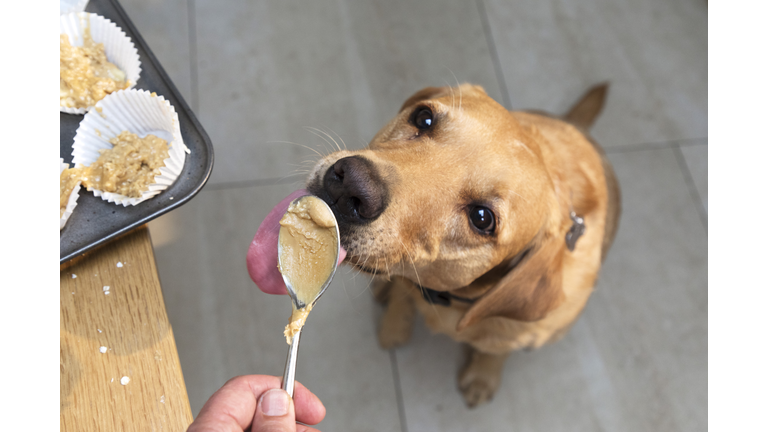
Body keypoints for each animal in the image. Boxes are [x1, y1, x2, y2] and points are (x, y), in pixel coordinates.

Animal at [304, 82, 620, 406]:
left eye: (482, 218)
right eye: (424, 118)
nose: (350, 185)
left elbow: (495, 351)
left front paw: (482, 376)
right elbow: (402, 298)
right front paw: (394, 324)